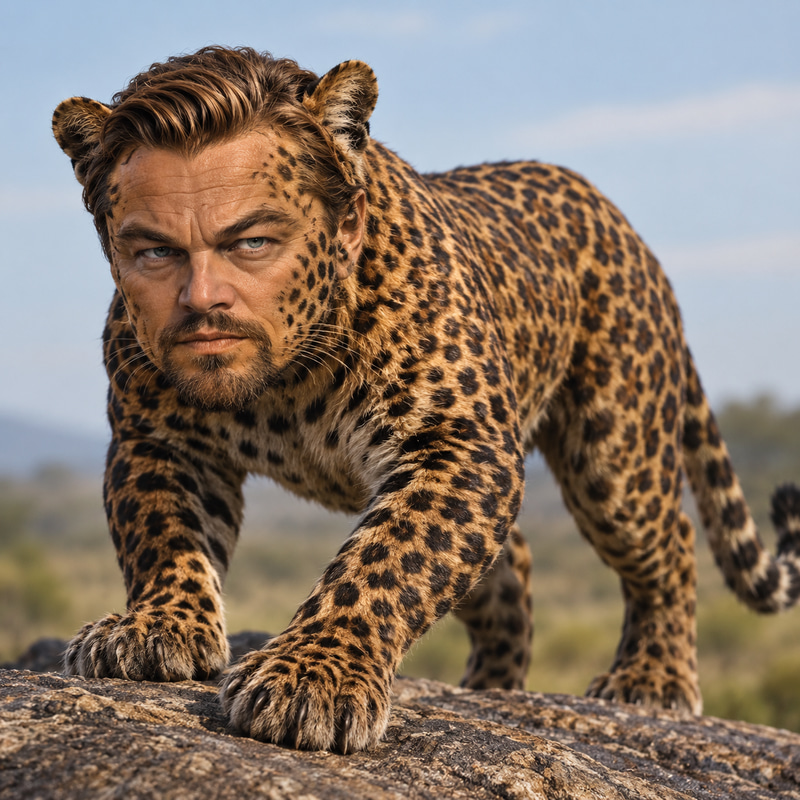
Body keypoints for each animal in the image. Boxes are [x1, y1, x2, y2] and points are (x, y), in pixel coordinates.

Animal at [52, 46, 800, 753]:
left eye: (252, 241)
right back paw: (491, 685)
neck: (286, 378)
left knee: (670, 541)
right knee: (513, 565)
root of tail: (620, 222)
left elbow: (389, 559)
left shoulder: (458, 440)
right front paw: (156, 626)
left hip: (616, 451)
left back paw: (653, 678)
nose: (204, 308)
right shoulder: (158, 439)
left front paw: (313, 673)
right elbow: (165, 537)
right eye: (155, 251)